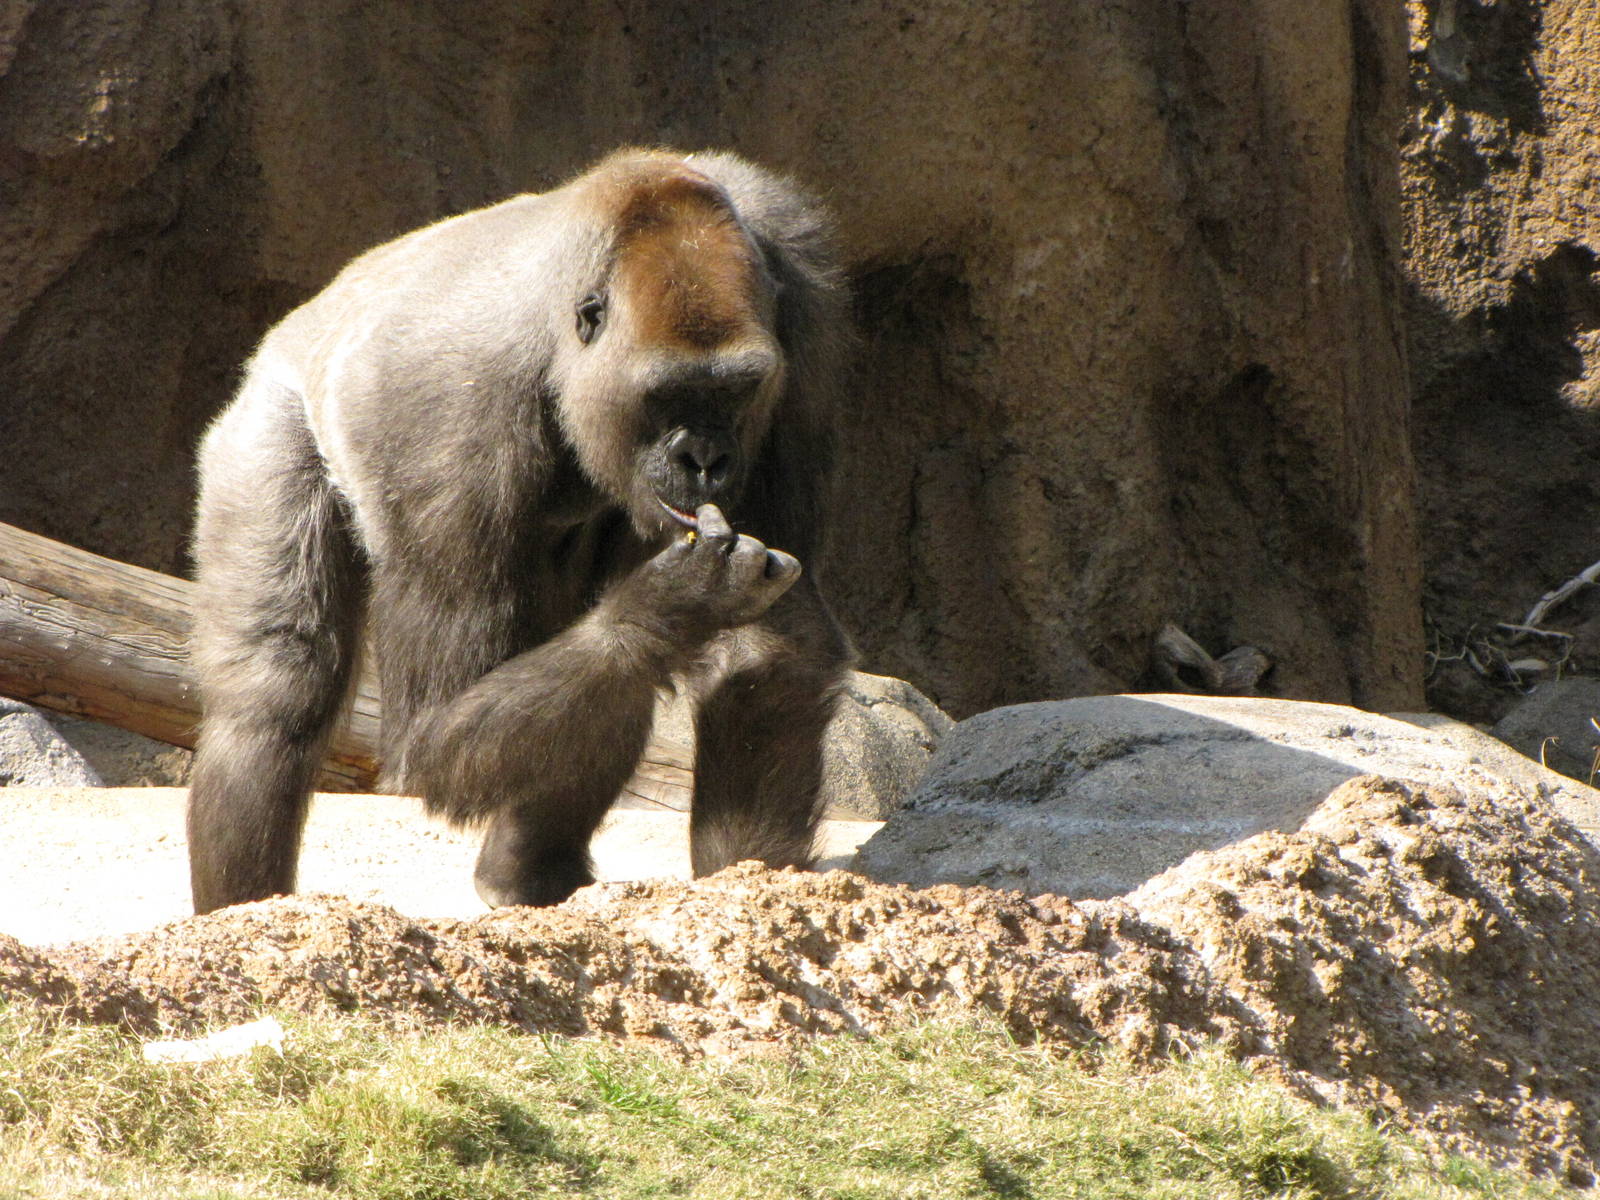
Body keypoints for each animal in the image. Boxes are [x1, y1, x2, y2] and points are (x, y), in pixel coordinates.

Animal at [186, 149, 853, 915]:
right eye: (666, 395)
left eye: (737, 391)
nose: (706, 461)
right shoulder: (443, 428)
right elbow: (432, 735)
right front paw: (671, 604)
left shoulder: (803, 299)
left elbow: (766, 648)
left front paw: (749, 886)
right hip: (266, 414)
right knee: (274, 691)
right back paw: (245, 913)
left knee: (603, 674)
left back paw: (521, 870)